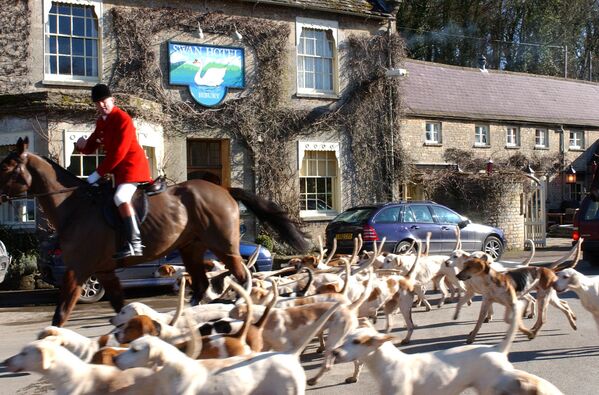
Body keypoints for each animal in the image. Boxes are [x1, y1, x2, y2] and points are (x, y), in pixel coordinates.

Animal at [0, 139, 310, 328]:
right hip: (192, 248)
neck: (75, 206)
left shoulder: (78, 269)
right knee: (201, 285)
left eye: (6, 167)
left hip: (224, 247)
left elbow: (61, 312)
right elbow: (118, 305)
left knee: (244, 277)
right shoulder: (103, 271)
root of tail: (223, 189)